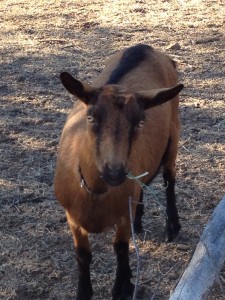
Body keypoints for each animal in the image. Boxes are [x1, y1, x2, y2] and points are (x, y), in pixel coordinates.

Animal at [54, 44, 183, 300]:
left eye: (140, 122)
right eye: (91, 117)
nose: (115, 171)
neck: (95, 192)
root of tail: (145, 47)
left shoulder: (122, 216)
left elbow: (121, 249)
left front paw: (122, 286)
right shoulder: (72, 217)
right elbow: (83, 255)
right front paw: (84, 292)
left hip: (173, 133)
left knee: (169, 179)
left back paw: (172, 226)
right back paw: (140, 222)